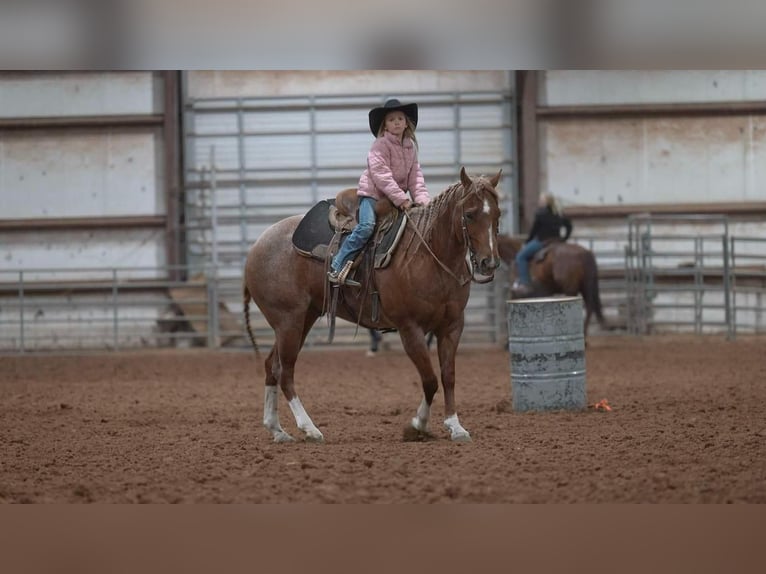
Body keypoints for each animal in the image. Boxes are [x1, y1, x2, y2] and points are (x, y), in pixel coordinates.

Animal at [243, 166, 500, 446]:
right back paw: (309, 428)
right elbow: (430, 380)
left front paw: (455, 426)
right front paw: (417, 425)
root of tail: (257, 246)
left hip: (302, 319)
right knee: (286, 371)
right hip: (289, 320)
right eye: (470, 214)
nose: (489, 263)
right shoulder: (410, 328)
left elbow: (448, 376)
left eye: (497, 214)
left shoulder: (452, 326)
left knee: (273, 366)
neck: (426, 255)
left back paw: (277, 430)